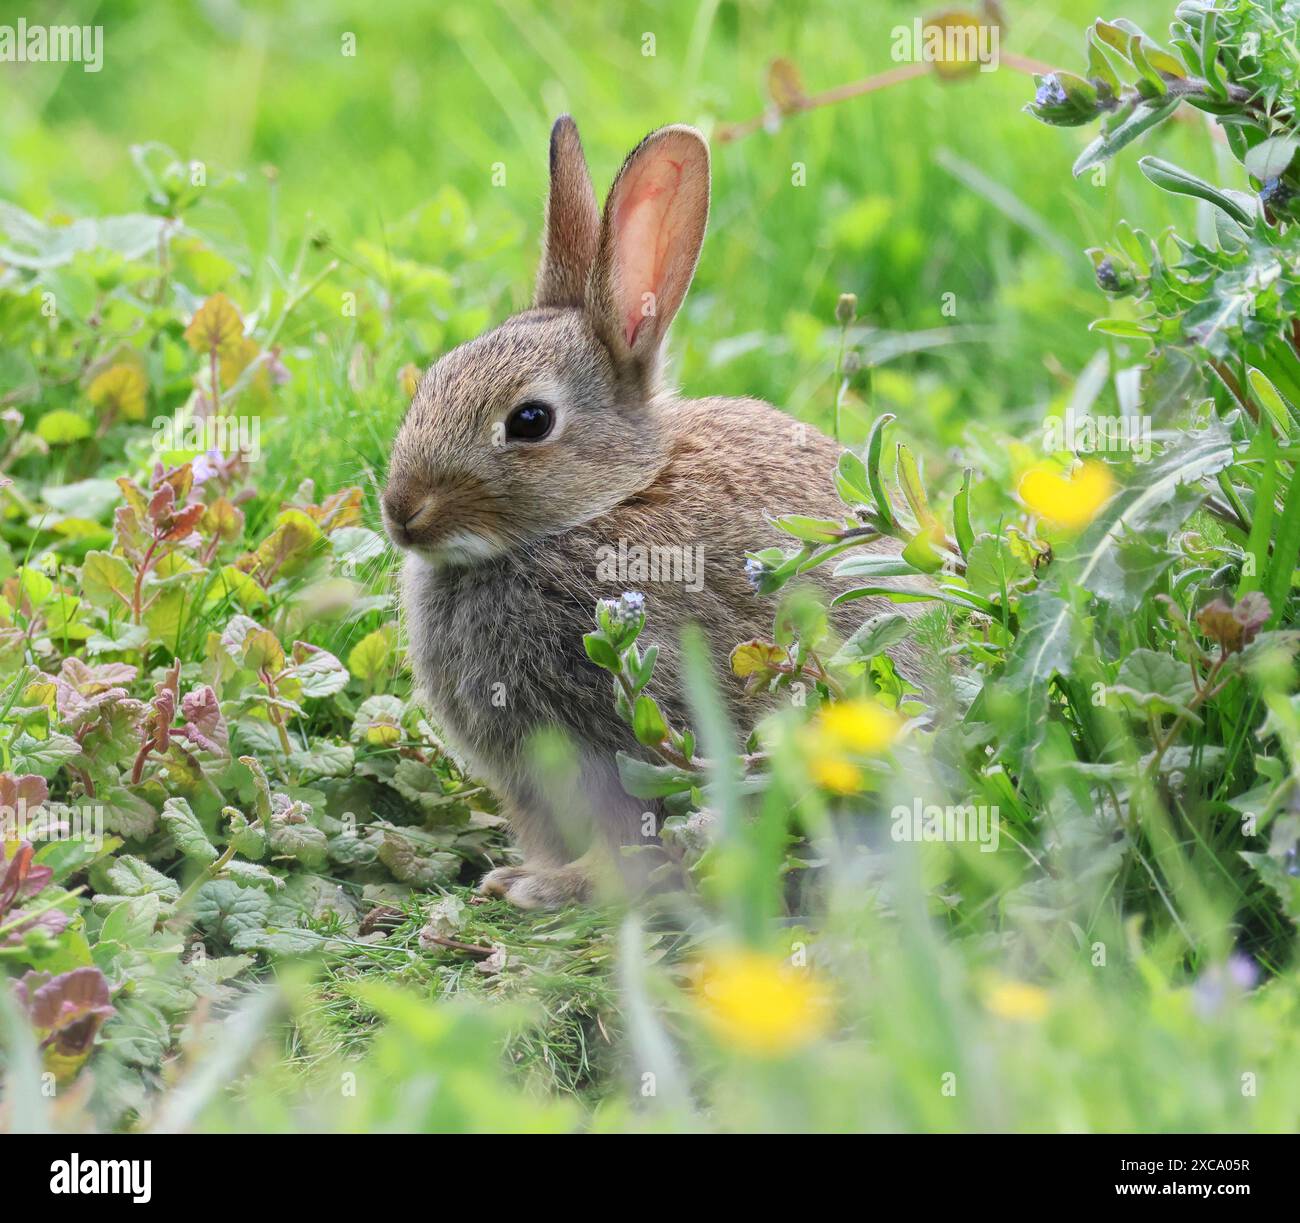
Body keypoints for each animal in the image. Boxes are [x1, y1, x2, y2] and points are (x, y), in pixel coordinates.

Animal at [381, 116, 925, 909]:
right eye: (435, 379)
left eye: (530, 420)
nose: (402, 512)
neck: (603, 505)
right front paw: (522, 876)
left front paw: (550, 888)